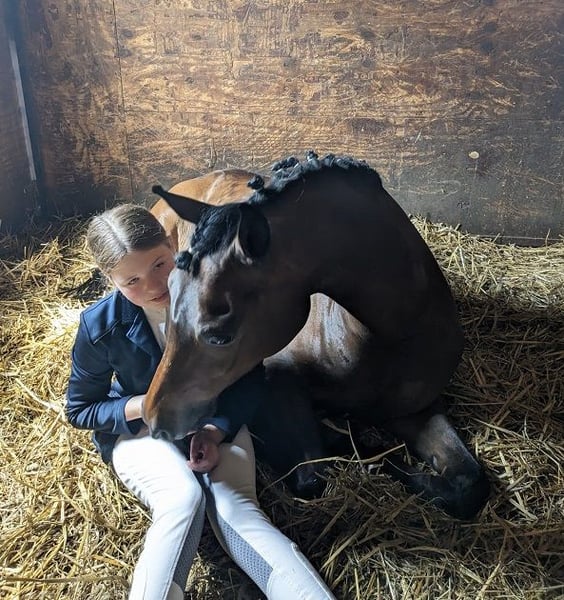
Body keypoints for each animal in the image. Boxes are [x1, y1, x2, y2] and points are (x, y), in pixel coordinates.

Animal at [145, 152, 490, 520]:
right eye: (170, 291)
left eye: (220, 337)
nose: (154, 419)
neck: (391, 340)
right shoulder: (275, 383)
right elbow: (312, 475)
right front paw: (353, 443)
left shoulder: (418, 409)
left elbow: (468, 484)